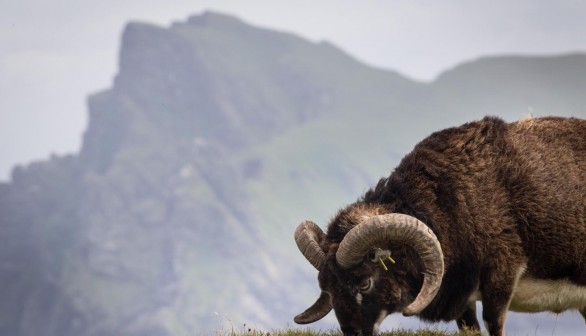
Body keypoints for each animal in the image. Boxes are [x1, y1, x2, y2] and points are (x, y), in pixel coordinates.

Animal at [292, 116, 584, 336]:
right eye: (327, 287)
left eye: (365, 284)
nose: (353, 333)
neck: (452, 202)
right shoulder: (463, 297)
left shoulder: (502, 277)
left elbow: (494, 323)